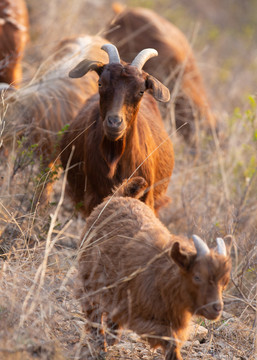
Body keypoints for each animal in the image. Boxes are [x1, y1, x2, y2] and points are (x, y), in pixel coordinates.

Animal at [76, 176, 232, 360]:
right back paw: (99, 344)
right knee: (92, 309)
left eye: (225, 282)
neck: (165, 276)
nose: (217, 308)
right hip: (89, 276)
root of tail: (121, 195)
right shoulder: (139, 316)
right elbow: (167, 336)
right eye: (197, 276)